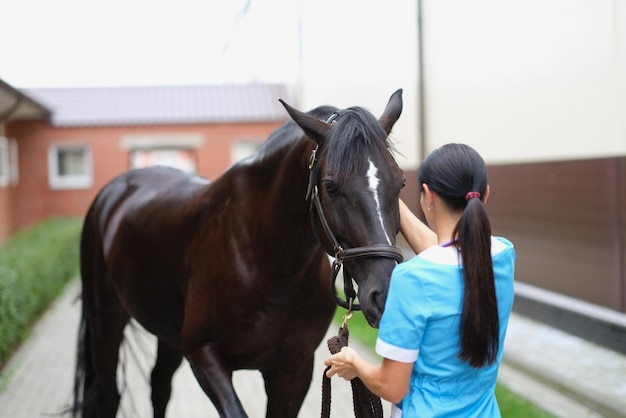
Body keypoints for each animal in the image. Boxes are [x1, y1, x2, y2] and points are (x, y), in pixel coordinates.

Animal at [73, 90, 404, 416]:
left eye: (400, 182)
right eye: (330, 186)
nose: (388, 297)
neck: (264, 263)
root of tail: (113, 193)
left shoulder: (293, 369)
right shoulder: (204, 354)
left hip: (168, 333)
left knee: (159, 385)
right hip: (106, 323)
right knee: (109, 394)